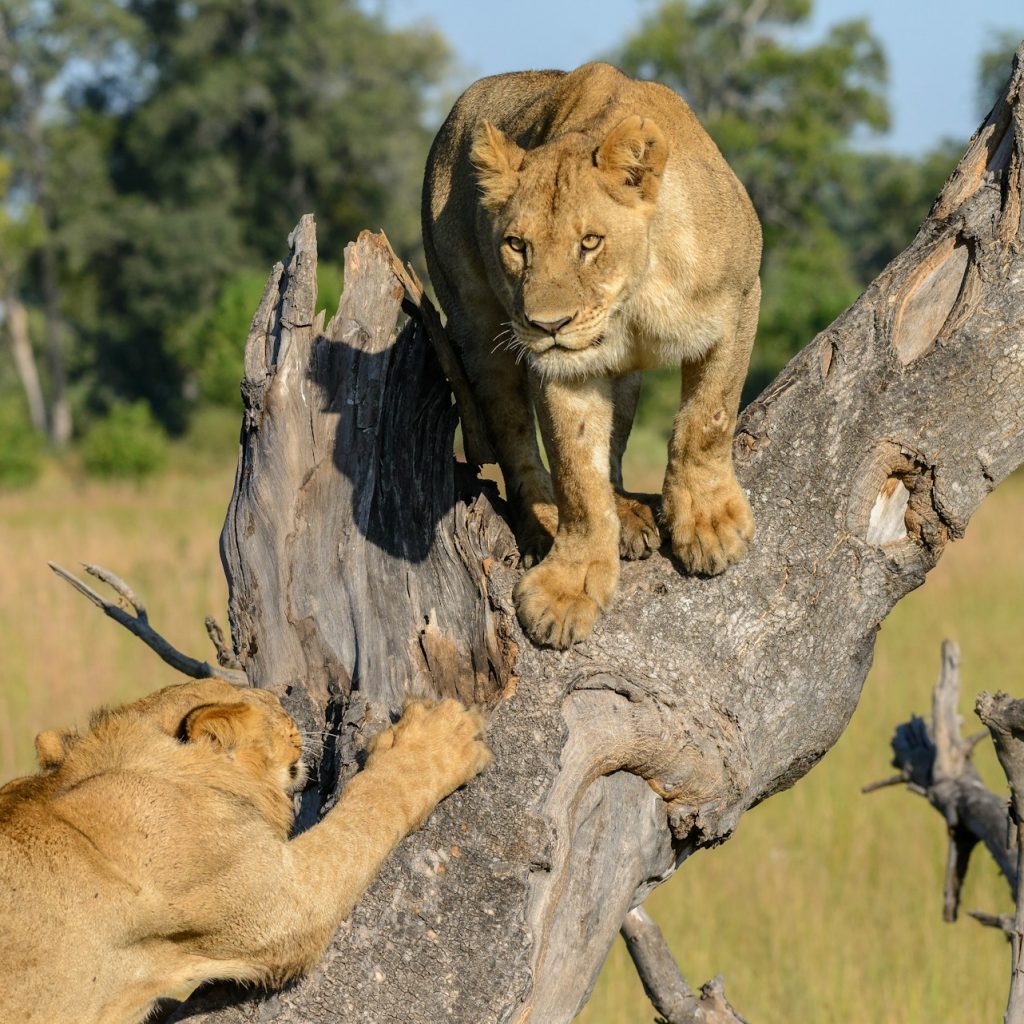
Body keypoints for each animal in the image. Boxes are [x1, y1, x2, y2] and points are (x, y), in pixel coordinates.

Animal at [423, 61, 762, 649]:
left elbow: (708, 418)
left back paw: (627, 512)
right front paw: (568, 586)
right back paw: (543, 528)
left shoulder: (741, 297)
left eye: (590, 242)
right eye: (517, 245)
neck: (633, 294)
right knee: (515, 440)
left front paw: (709, 524)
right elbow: (577, 474)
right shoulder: (564, 369)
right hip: (476, 326)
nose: (547, 325)